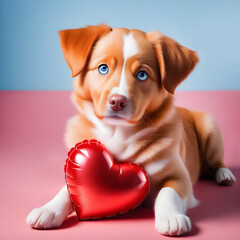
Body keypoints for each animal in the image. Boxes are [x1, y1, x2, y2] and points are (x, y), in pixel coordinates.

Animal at [25, 24, 235, 236]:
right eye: (103, 68)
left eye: (142, 74)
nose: (117, 101)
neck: (118, 133)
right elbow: (67, 189)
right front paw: (49, 209)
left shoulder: (179, 176)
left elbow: (168, 192)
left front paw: (171, 218)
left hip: (209, 127)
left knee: (217, 162)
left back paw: (224, 175)